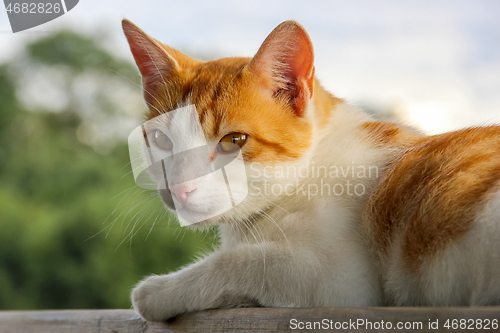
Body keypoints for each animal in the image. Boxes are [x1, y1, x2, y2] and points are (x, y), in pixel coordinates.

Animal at [121, 19, 500, 320]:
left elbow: (241, 261)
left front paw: (159, 289)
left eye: (234, 140)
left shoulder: (340, 282)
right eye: (162, 140)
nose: (179, 189)